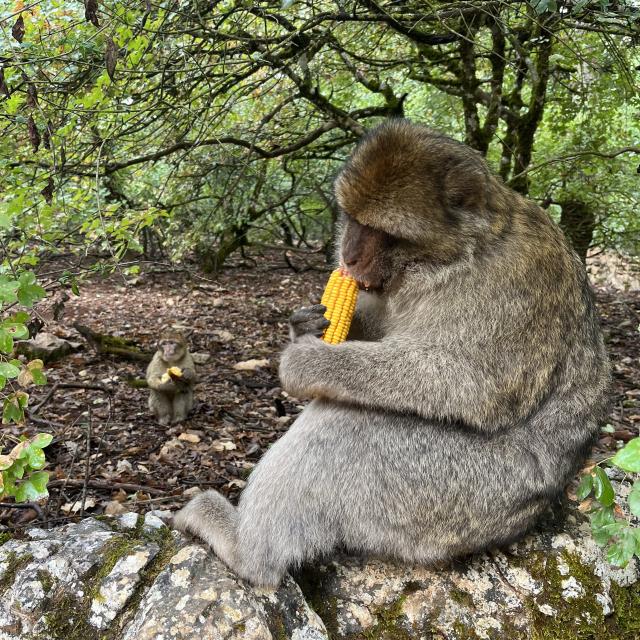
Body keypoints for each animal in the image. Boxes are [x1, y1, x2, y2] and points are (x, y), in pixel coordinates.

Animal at [175, 119, 608, 584]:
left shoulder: (510, 282)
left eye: (385, 234)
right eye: (351, 219)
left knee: (346, 426)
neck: (460, 256)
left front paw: (308, 361)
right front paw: (305, 324)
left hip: (454, 497)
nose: (347, 257)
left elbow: (473, 383)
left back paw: (247, 551)